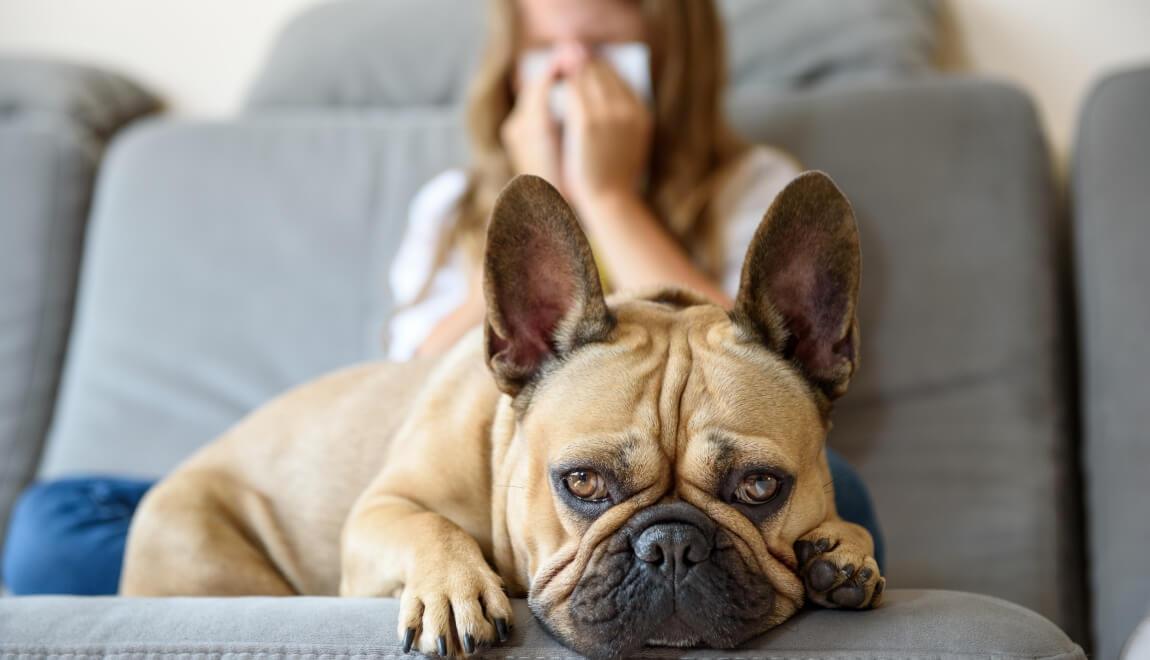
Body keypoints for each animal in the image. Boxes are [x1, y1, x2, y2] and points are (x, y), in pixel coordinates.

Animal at [123, 172, 878, 660]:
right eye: (581, 483)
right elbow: (428, 526)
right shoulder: (376, 515)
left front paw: (844, 549)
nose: (671, 546)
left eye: (759, 487)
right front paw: (454, 590)